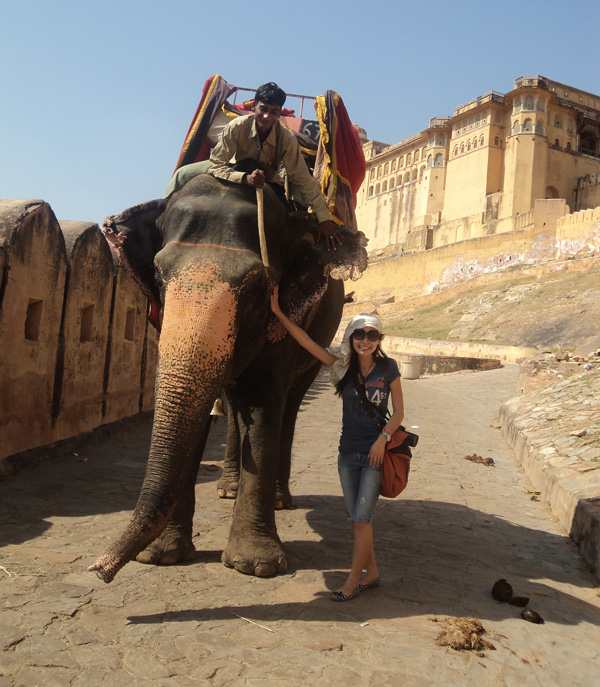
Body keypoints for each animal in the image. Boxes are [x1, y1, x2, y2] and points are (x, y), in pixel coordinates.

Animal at [89, 173, 367, 583]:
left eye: (256, 287)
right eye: (158, 276)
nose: (100, 570)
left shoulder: (287, 317)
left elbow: (265, 405)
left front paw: (256, 565)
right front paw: (161, 556)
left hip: (319, 340)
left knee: (288, 408)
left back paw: (279, 499)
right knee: (236, 405)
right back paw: (228, 490)